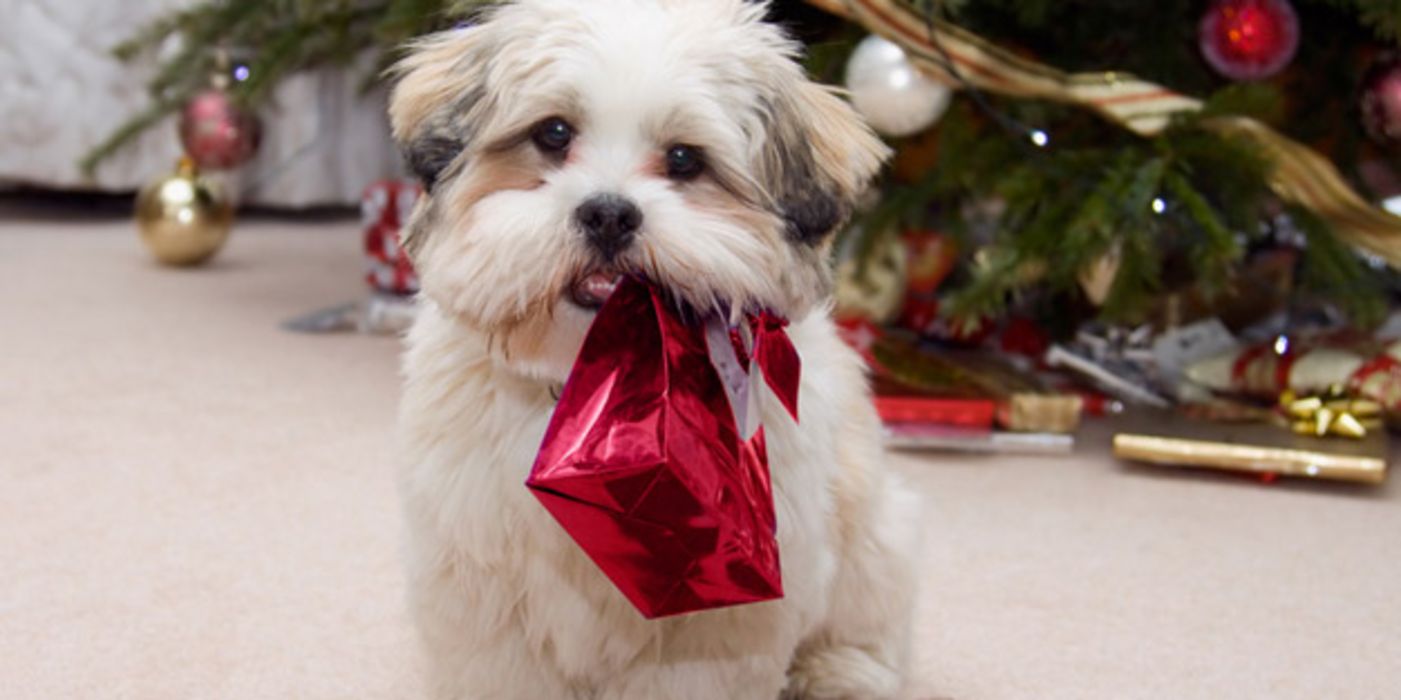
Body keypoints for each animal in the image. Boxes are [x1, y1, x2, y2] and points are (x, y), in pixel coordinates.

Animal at [392, 2, 919, 697]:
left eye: (684, 159)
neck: (600, 390)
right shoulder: (486, 598)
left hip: (875, 539)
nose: (609, 213)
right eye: (553, 133)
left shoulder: (710, 619)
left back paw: (838, 671)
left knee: (868, 625)